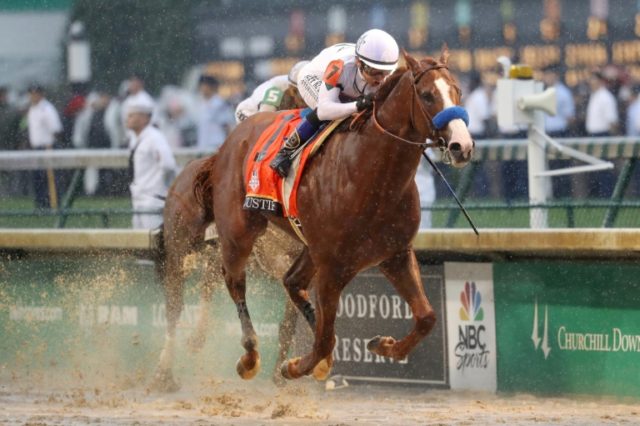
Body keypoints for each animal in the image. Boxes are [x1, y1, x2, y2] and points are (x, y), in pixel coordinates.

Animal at [192, 48, 472, 382]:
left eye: (457, 91)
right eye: (428, 95)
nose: (462, 146)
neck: (374, 177)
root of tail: (231, 139)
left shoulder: (396, 254)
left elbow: (427, 316)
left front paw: (384, 345)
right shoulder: (332, 267)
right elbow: (324, 340)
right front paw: (293, 367)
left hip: (309, 246)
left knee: (292, 281)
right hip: (239, 232)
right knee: (234, 281)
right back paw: (249, 357)